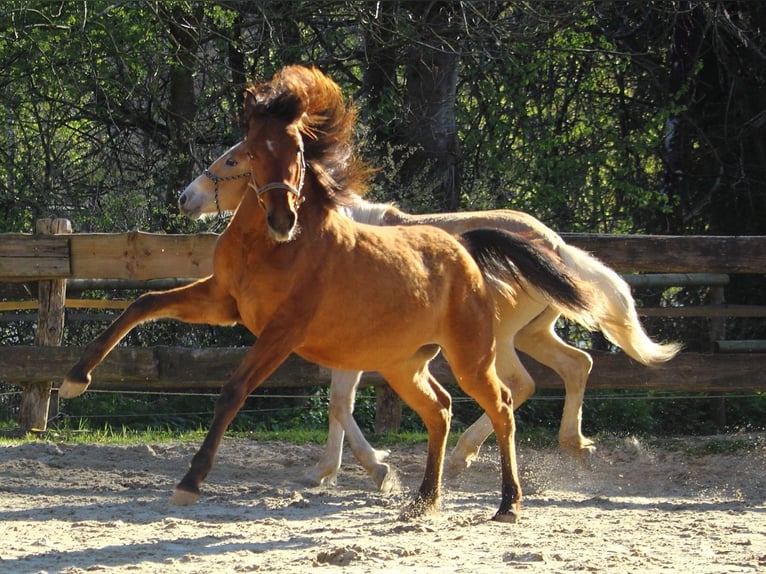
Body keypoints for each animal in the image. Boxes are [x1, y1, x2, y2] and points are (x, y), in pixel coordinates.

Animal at [60, 65, 597, 522]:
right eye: (251, 151)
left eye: (297, 151)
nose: (282, 219)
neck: (273, 248)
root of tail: (463, 247)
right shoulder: (223, 302)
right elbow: (142, 305)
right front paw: (74, 378)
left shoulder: (282, 331)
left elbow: (235, 390)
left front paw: (191, 482)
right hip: (404, 363)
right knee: (441, 409)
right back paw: (424, 499)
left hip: (472, 354)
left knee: (503, 402)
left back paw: (508, 502)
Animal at [179, 154, 681, 492]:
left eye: (232, 159)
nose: (187, 197)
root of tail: (555, 244)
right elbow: (340, 403)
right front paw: (327, 471)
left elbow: (340, 403)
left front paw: (377, 470)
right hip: (532, 333)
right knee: (577, 365)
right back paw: (574, 445)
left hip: (496, 338)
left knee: (518, 385)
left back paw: (462, 457)